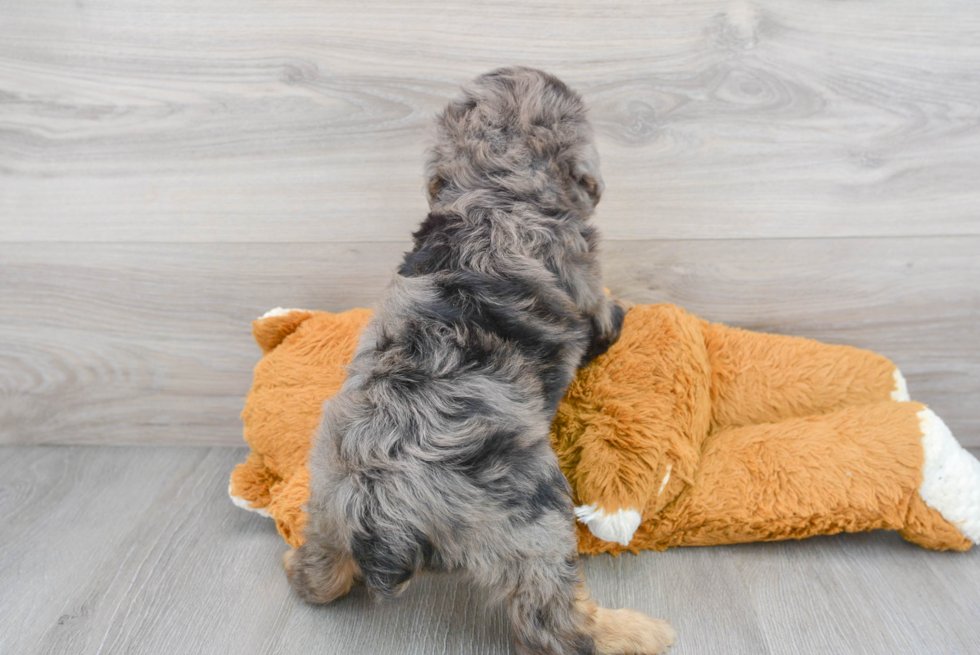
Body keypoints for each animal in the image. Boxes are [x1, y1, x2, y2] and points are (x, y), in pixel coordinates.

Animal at [288, 68, 676, 655]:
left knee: (323, 571)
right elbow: (605, 313)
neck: (497, 187)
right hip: (532, 516)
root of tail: (381, 506)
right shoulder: (586, 277)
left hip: (327, 496)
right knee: (553, 621)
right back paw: (634, 631)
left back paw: (299, 568)